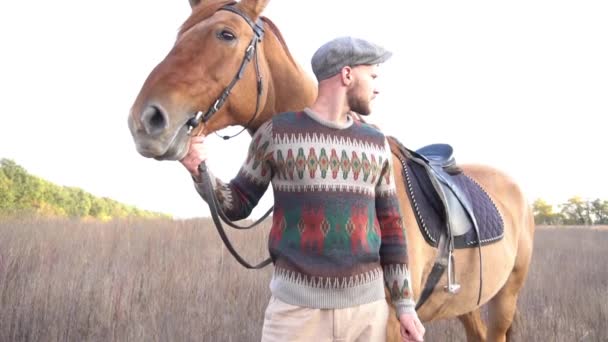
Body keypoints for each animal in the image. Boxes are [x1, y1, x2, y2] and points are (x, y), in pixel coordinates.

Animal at [127, 1, 532, 340]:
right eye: (180, 35)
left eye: (226, 34)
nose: (145, 121)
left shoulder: (392, 324)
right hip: (470, 304)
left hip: (505, 299)